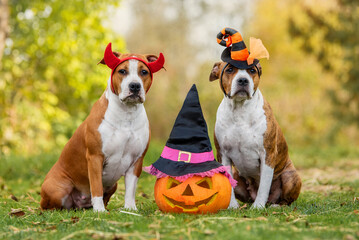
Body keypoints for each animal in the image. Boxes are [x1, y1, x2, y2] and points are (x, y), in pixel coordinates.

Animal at [40, 43, 166, 212]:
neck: (126, 114)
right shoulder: (95, 157)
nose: (134, 85)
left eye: (144, 72)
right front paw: (99, 210)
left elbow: (131, 188)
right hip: (56, 188)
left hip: (113, 185)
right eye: (122, 71)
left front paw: (130, 208)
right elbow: (96, 186)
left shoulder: (136, 160)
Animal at [210, 54, 302, 208]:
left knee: (285, 199)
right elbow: (228, 182)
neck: (240, 110)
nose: (243, 80)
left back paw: (275, 205)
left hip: (289, 176)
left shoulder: (267, 154)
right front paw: (232, 206)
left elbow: (264, 185)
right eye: (229, 69)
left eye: (252, 70)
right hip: (238, 176)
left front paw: (258, 206)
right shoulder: (223, 154)